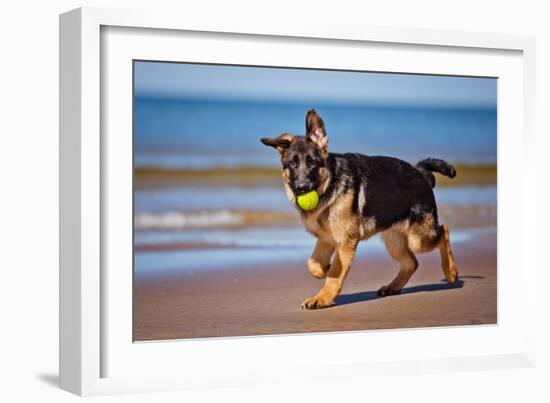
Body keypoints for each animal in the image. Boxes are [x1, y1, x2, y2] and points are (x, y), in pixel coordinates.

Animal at [260, 109, 460, 310]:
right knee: (412, 262)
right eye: (292, 163)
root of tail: (421, 173)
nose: (301, 188)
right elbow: (313, 263)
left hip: (419, 238)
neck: (330, 184)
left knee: (444, 231)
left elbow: (334, 274)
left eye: (313, 163)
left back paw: (451, 272)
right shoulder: (327, 239)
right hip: (395, 241)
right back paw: (393, 287)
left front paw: (322, 298)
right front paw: (324, 270)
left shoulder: (345, 241)